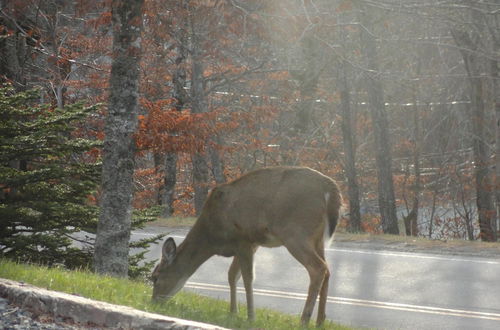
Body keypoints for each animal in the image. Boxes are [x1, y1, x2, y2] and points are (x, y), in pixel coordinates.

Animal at [150, 166, 342, 326]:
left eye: (155, 277)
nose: (154, 302)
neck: (212, 237)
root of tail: (331, 190)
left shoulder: (243, 239)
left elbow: (247, 278)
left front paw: (250, 317)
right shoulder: (250, 244)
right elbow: (232, 275)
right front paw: (233, 313)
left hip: (296, 233)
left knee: (318, 268)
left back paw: (304, 321)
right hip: (317, 238)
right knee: (327, 269)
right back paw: (320, 321)